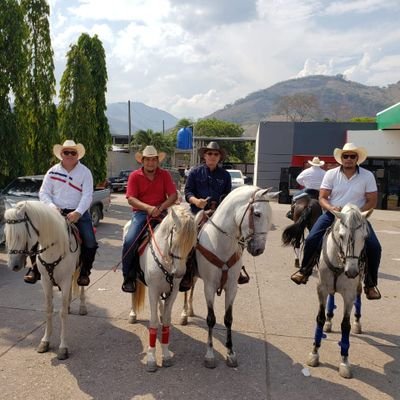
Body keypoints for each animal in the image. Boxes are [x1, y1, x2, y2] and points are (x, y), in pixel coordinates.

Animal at [4, 200, 84, 360]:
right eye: (6, 234)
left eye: (20, 235)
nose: (13, 265)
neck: (55, 248)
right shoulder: (46, 282)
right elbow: (48, 309)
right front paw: (45, 342)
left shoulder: (65, 281)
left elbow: (62, 313)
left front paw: (63, 347)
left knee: (83, 286)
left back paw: (83, 307)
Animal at [126, 206, 198, 372]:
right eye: (175, 240)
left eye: (192, 243)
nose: (179, 273)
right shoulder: (152, 290)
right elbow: (152, 323)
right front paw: (151, 359)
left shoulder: (173, 292)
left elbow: (166, 320)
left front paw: (165, 355)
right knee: (133, 293)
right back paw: (133, 314)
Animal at [194, 186, 278, 368]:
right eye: (257, 214)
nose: (259, 249)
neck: (220, 243)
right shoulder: (209, 287)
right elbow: (211, 319)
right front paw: (210, 354)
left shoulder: (232, 287)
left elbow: (228, 319)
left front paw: (230, 352)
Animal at [306, 203, 372, 378]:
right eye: (342, 236)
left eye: (365, 237)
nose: (352, 271)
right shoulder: (321, 288)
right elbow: (320, 318)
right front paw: (314, 354)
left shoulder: (348, 295)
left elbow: (345, 325)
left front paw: (344, 362)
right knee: (332, 296)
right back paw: (329, 321)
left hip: (358, 284)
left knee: (358, 297)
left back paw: (357, 323)